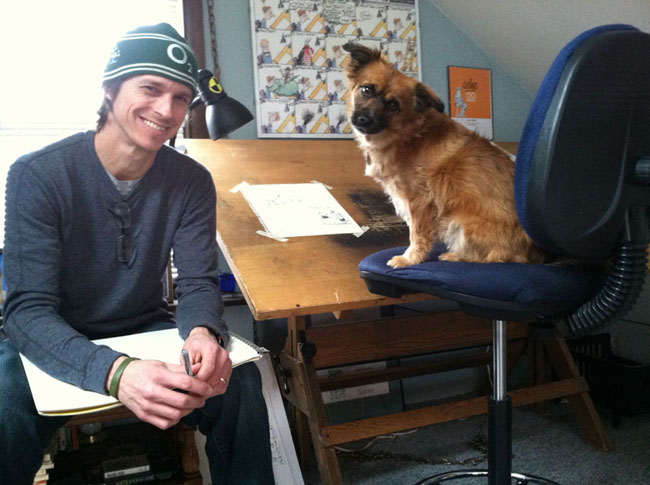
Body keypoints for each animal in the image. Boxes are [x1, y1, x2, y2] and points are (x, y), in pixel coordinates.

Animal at [342, 42, 548, 266]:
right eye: (366, 89)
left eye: (393, 105)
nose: (363, 120)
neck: (408, 135)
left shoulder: (419, 201)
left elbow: (417, 235)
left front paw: (410, 259)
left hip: (458, 223)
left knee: (497, 257)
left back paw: (456, 256)